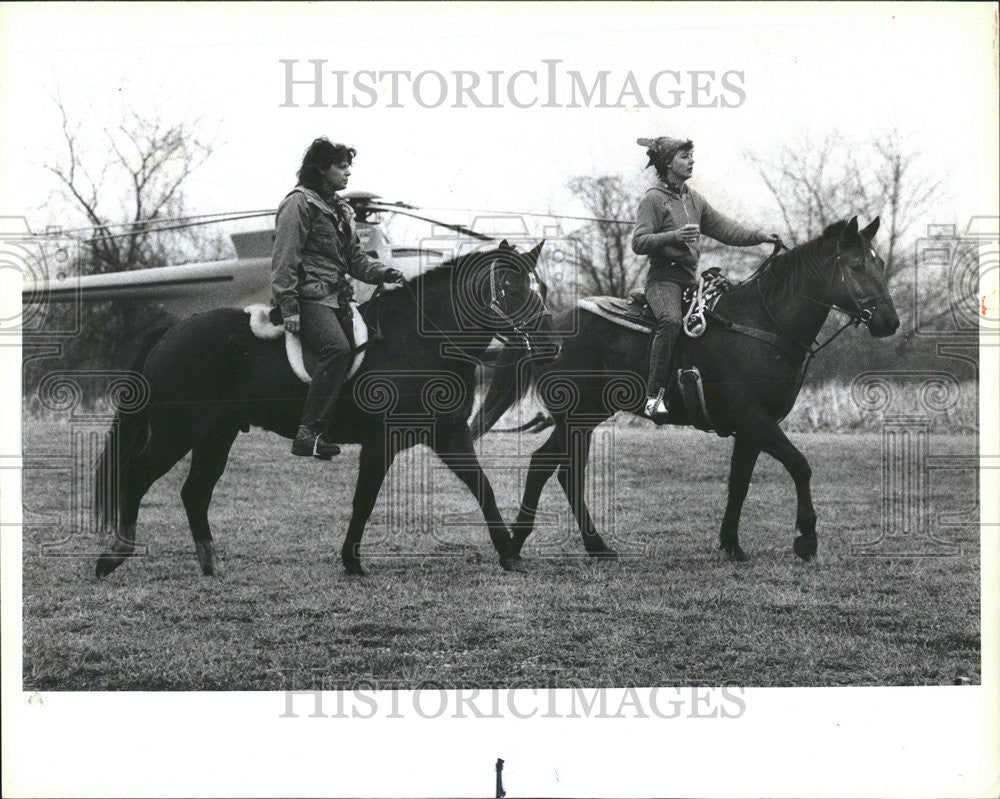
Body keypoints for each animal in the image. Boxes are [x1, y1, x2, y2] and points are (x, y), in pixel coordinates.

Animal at [94, 241, 556, 580]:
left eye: (544, 289)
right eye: (512, 289)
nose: (550, 346)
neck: (417, 342)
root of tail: (171, 330)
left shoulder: (449, 435)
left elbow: (483, 488)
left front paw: (510, 554)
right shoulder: (382, 442)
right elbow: (364, 499)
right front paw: (352, 561)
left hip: (215, 434)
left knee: (194, 492)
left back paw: (209, 565)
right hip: (177, 431)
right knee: (136, 476)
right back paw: (113, 556)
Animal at [472, 214, 904, 564]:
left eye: (879, 263)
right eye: (855, 264)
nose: (889, 321)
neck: (763, 324)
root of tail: (548, 330)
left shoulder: (751, 428)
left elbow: (739, 482)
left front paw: (731, 544)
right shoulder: (756, 419)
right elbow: (800, 465)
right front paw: (807, 540)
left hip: (585, 418)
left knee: (556, 470)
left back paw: (575, 546)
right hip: (575, 417)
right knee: (554, 469)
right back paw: (534, 545)